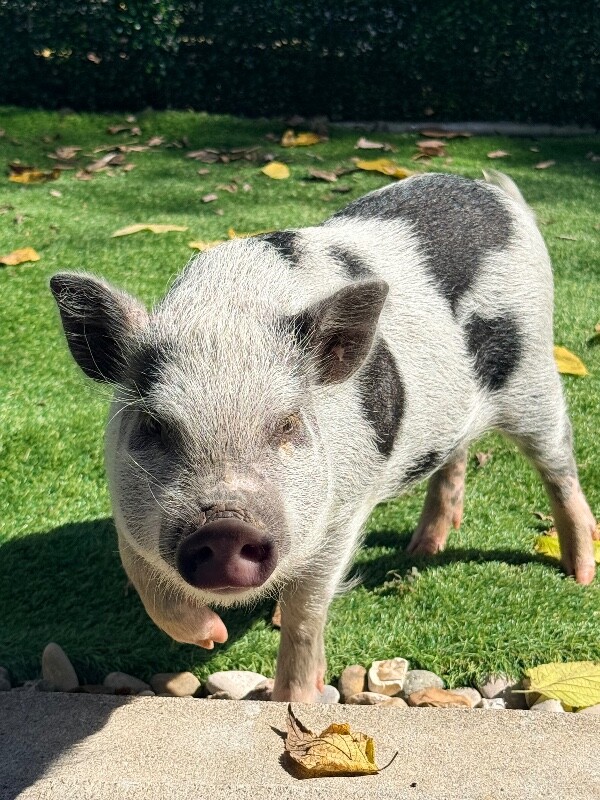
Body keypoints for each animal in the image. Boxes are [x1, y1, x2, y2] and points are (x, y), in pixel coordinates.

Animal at [50, 170, 597, 702]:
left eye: (288, 423)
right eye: (154, 427)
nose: (225, 527)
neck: (228, 316)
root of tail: (496, 194)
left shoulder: (343, 508)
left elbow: (306, 611)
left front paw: (294, 697)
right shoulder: (126, 505)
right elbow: (144, 577)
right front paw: (213, 636)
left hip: (533, 376)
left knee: (560, 467)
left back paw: (579, 572)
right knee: (456, 455)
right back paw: (422, 550)